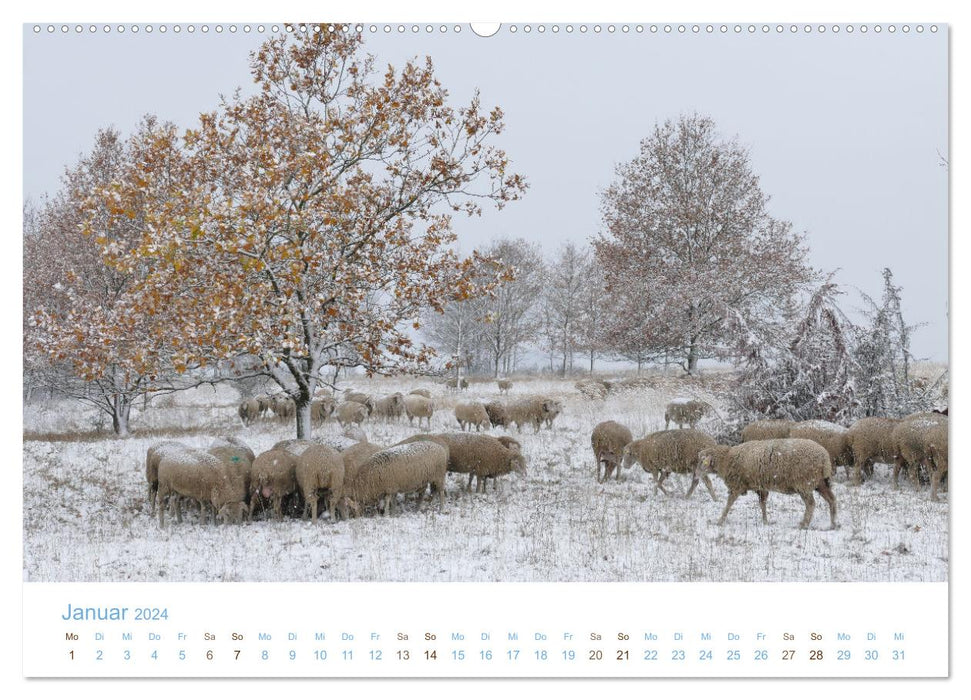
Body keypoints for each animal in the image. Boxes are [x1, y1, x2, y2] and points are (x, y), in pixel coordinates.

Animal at [696, 438, 840, 532]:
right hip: (821, 482)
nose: (696, 474)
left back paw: (803, 524)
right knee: (832, 499)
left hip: (804, 483)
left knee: (811, 504)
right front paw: (765, 521)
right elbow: (762, 504)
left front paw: (720, 521)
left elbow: (728, 504)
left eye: (702, 461)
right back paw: (833, 524)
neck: (726, 459)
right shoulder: (761, 487)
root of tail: (824, 458)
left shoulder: (737, 486)